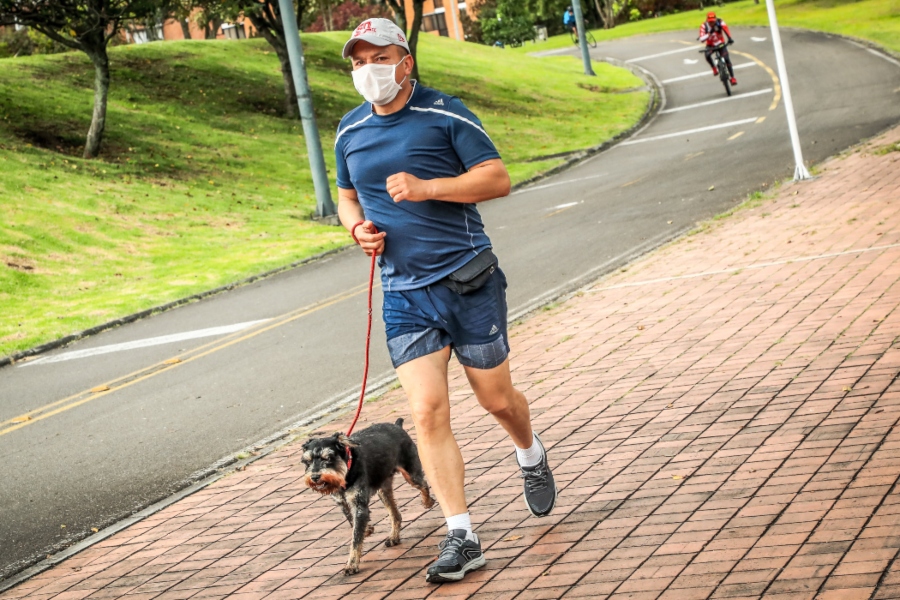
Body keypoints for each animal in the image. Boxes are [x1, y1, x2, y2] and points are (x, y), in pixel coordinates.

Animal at [298, 420, 436, 576]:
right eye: (307, 461)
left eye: (328, 458)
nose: (315, 477)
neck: (347, 471)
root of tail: (396, 425)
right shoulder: (343, 503)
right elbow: (352, 522)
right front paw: (368, 529)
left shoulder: (359, 505)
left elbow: (356, 538)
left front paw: (352, 564)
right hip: (383, 489)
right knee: (395, 515)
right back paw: (393, 537)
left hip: (411, 474)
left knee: (423, 484)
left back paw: (427, 502)